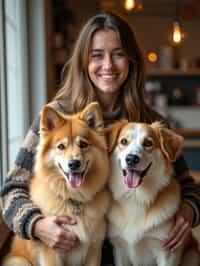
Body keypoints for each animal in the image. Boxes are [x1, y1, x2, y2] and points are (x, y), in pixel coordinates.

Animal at [107, 121, 199, 266]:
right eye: (124, 141)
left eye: (148, 143)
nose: (131, 159)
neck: (136, 196)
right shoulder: (119, 248)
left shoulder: (167, 252)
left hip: (192, 256)